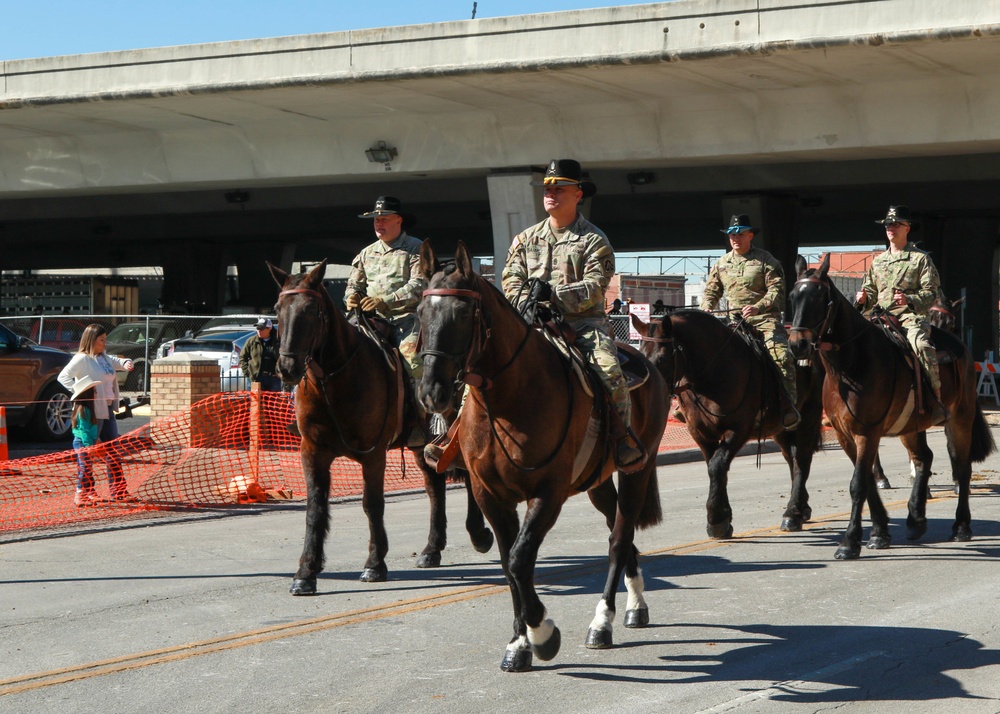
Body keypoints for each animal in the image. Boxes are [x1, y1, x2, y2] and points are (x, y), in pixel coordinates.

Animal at [270, 258, 492, 592]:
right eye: (277, 308)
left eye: (310, 309)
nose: (287, 367)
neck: (336, 379)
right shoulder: (312, 452)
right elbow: (315, 509)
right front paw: (306, 572)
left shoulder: (373, 454)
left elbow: (372, 504)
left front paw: (374, 564)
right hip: (421, 444)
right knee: (434, 487)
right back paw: (432, 549)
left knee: (466, 475)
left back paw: (478, 534)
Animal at [414, 242, 672, 672]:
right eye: (420, 311)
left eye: (464, 314)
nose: (432, 391)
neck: (510, 397)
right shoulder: (490, 495)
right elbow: (509, 566)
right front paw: (519, 642)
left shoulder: (548, 493)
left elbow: (520, 560)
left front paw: (542, 635)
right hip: (597, 482)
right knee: (620, 529)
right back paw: (636, 604)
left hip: (637, 468)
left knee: (619, 539)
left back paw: (603, 622)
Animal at [628, 306, 824, 536]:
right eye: (642, 356)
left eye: (662, 357)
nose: (649, 396)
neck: (712, 375)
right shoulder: (700, 432)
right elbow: (713, 466)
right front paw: (722, 517)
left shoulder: (739, 428)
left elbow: (717, 465)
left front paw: (717, 520)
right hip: (781, 428)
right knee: (790, 457)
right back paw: (802, 507)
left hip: (809, 416)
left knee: (801, 459)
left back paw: (793, 513)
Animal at [788, 253, 992, 560]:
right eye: (792, 297)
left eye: (820, 298)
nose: (798, 345)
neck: (850, 364)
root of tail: (963, 350)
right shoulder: (846, 435)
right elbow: (868, 481)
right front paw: (879, 533)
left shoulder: (867, 432)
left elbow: (858, 484)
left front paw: (849, 542)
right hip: (911, 426)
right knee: (923, 458)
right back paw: (916, 519)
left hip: (960, 419)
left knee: (962, 466)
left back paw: (961, 526)